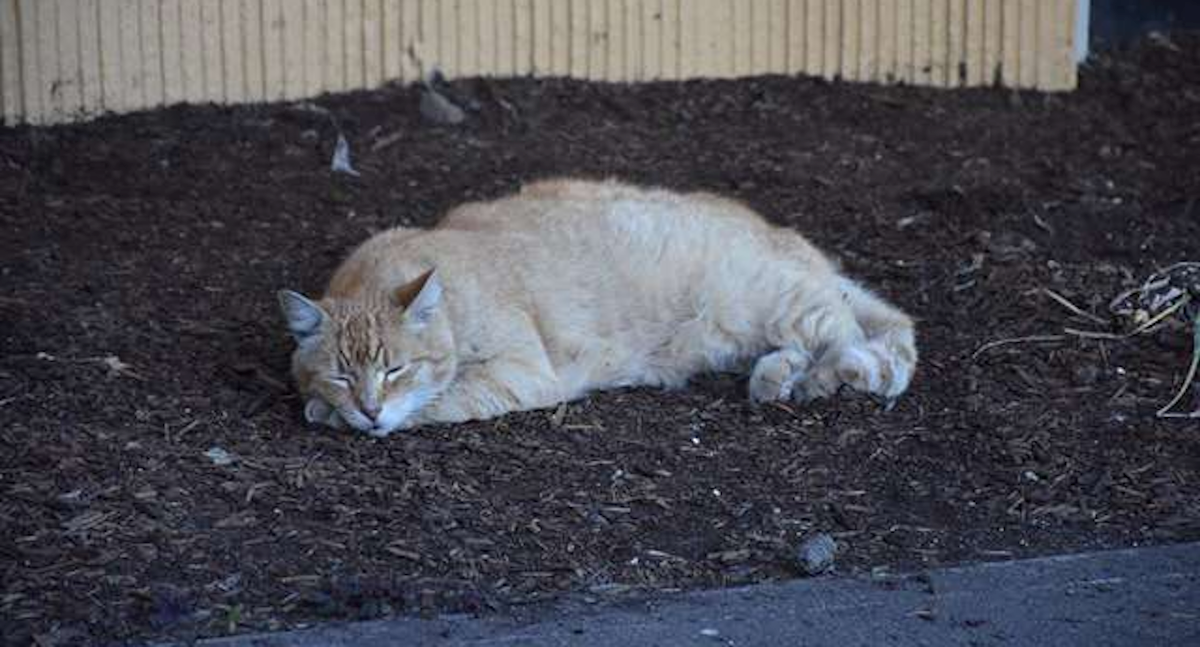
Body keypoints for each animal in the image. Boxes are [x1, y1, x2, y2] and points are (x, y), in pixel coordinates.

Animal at [280, 180, 916, 436]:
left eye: (395, 369)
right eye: (342, 374)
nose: (367, 410)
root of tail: (786, 236)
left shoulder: (524, 374)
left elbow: (439, 401)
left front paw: (340, 417)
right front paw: (330, 408)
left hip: (779, 301)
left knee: (865, 340)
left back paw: (831, 375)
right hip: (741, 333)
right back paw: (778, 377)